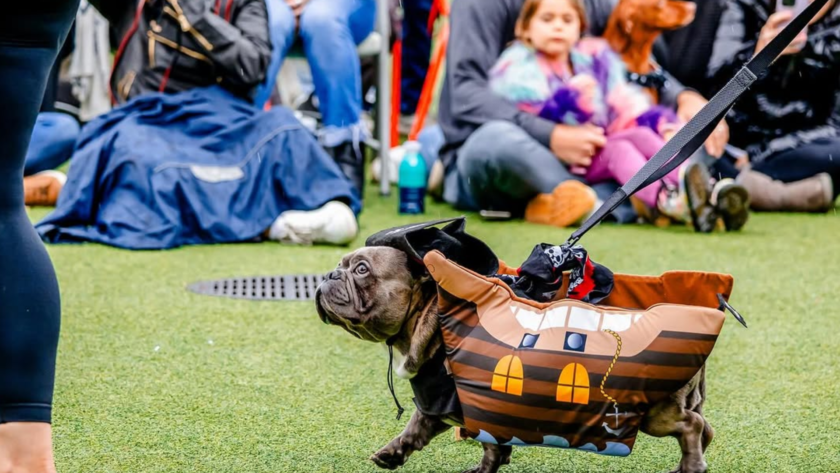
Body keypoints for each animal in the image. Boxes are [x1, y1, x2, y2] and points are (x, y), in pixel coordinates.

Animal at [318, 247, 712, 472]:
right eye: (339, 265)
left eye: (362, 270)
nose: (328, 274)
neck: (430, 315)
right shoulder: (438, 404)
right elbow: (416, 430)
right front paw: (392, 453)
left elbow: (490, 443)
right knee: (703, 426)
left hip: (655, 414)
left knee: (691, 426)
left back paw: (691, 465)